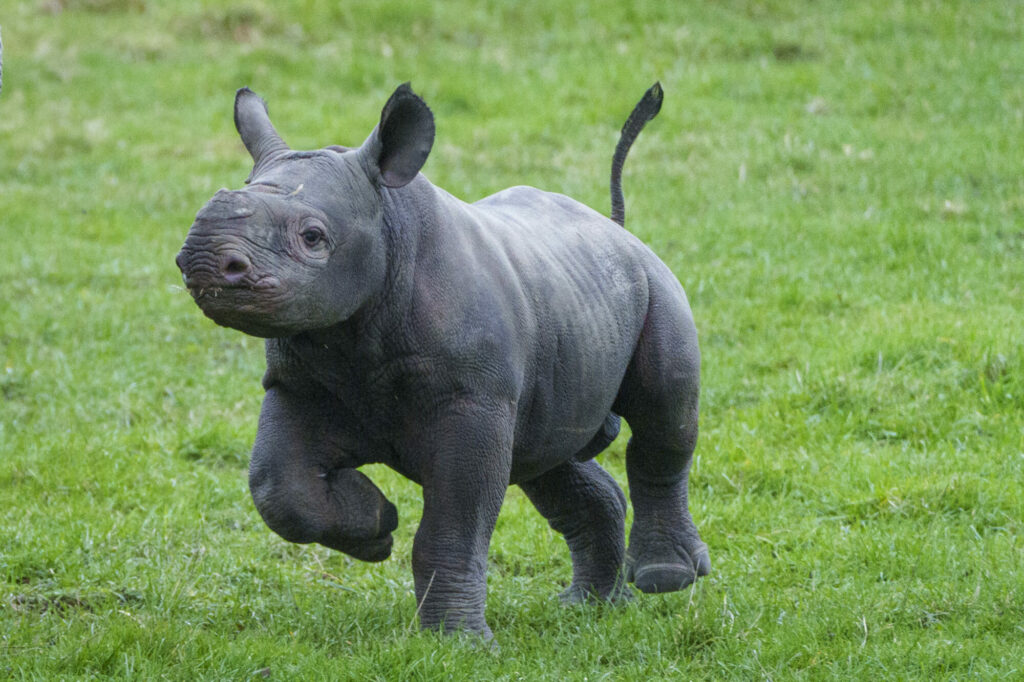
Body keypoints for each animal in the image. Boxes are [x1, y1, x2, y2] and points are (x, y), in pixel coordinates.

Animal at [176, 82, 709, 639]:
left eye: (313, 237)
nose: (203, 259)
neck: (387, 223)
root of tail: (616, 230)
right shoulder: (298, 384)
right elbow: (278, 486)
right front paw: (376, 527)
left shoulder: (473, 398)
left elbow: (455, 519)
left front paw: (456, 641)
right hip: (570, 302)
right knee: (547, 458)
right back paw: (589, 608)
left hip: (654, 283)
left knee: (663, 415)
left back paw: (664, 578)